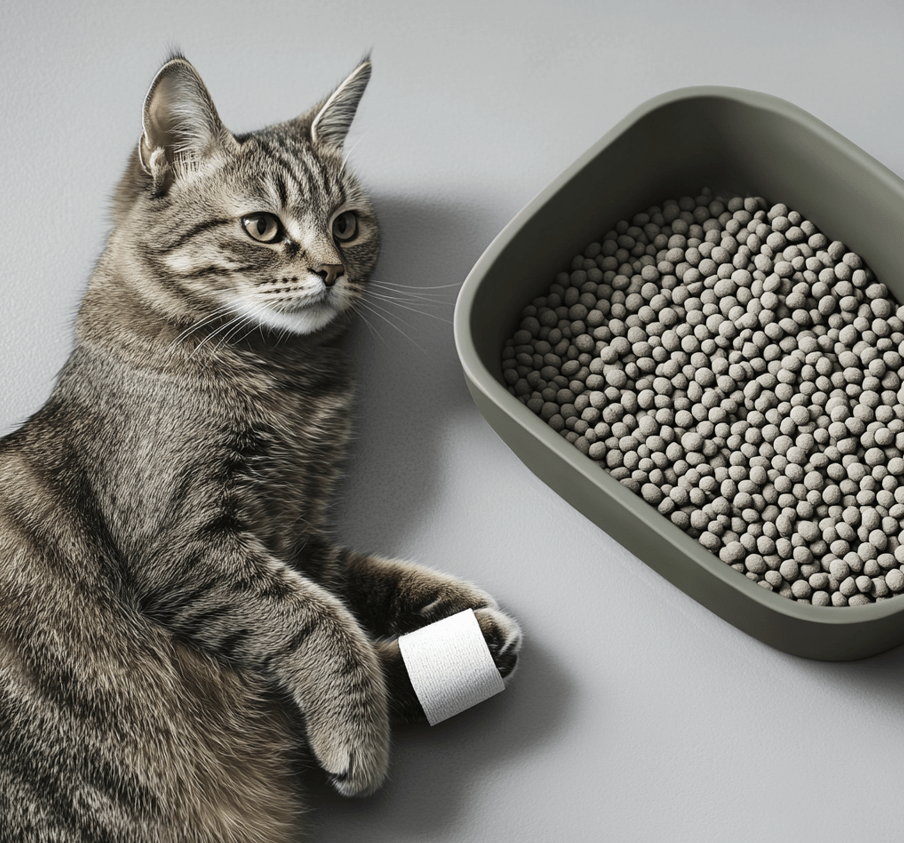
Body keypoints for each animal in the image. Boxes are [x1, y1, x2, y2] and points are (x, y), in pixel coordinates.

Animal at [0, 54, 524, 843]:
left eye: (347, 224)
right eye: (263, 226)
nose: (332, 269)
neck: (287, 383)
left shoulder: (296, 530)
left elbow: (352, 582)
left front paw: (455, 623)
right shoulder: (187, 542)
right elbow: (319, 622)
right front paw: (359, 731)